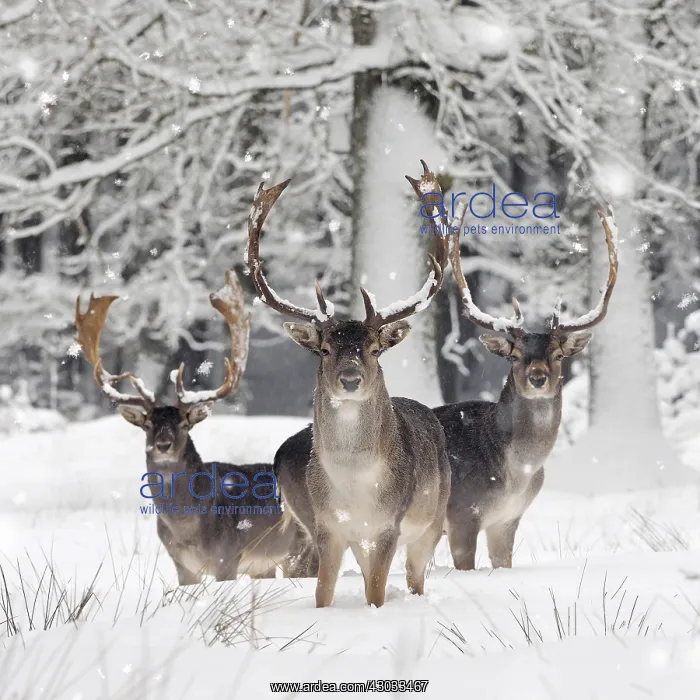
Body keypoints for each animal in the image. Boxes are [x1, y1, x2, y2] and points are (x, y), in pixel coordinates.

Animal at [74, 269, 297, 584]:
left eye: (183, 423)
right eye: (147, 424)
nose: (163, 445)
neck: (187, 529)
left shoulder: (228, 556)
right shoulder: (182, 565)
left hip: (298, 550)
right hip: (264, 565)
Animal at [247, 162, 451, 608]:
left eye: (374, 349)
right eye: (324, 349)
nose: (350, 377)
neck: (355, 485)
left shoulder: (388, 525)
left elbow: (376, 592)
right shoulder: (328, 525)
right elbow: (322, 592)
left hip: (432, 520)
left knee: (416, 577)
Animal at [433, 207, 619, 570]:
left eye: (558, 355)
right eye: (514, 355)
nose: (537, 377)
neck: (515, 475)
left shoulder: (508, 520)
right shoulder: (462, 513)